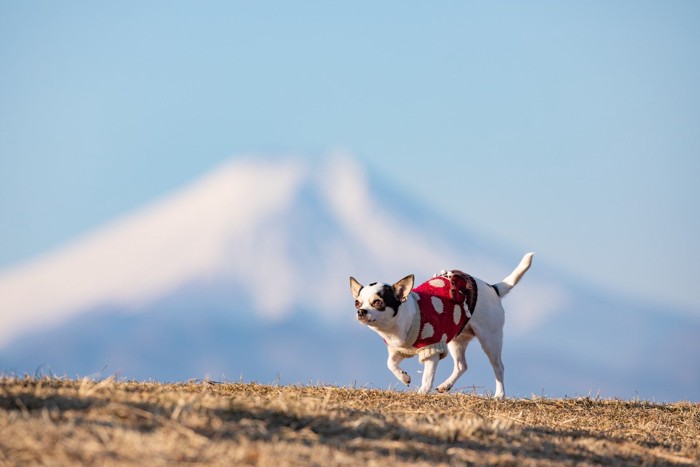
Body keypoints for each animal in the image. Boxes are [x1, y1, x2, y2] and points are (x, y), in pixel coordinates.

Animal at [352, 252, 532, 398]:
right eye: (357, 303)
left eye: (377, 302)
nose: (361, 311)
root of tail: (493, 288)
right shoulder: (398, 349)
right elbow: (390, 364)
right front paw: (404, 377)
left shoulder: (432, 348)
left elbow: (427, 376)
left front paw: (422, 392)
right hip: (457, 338)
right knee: (461, 365)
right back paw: (446, 385)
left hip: (490, 339)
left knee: (499, 367)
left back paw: (499, 395)